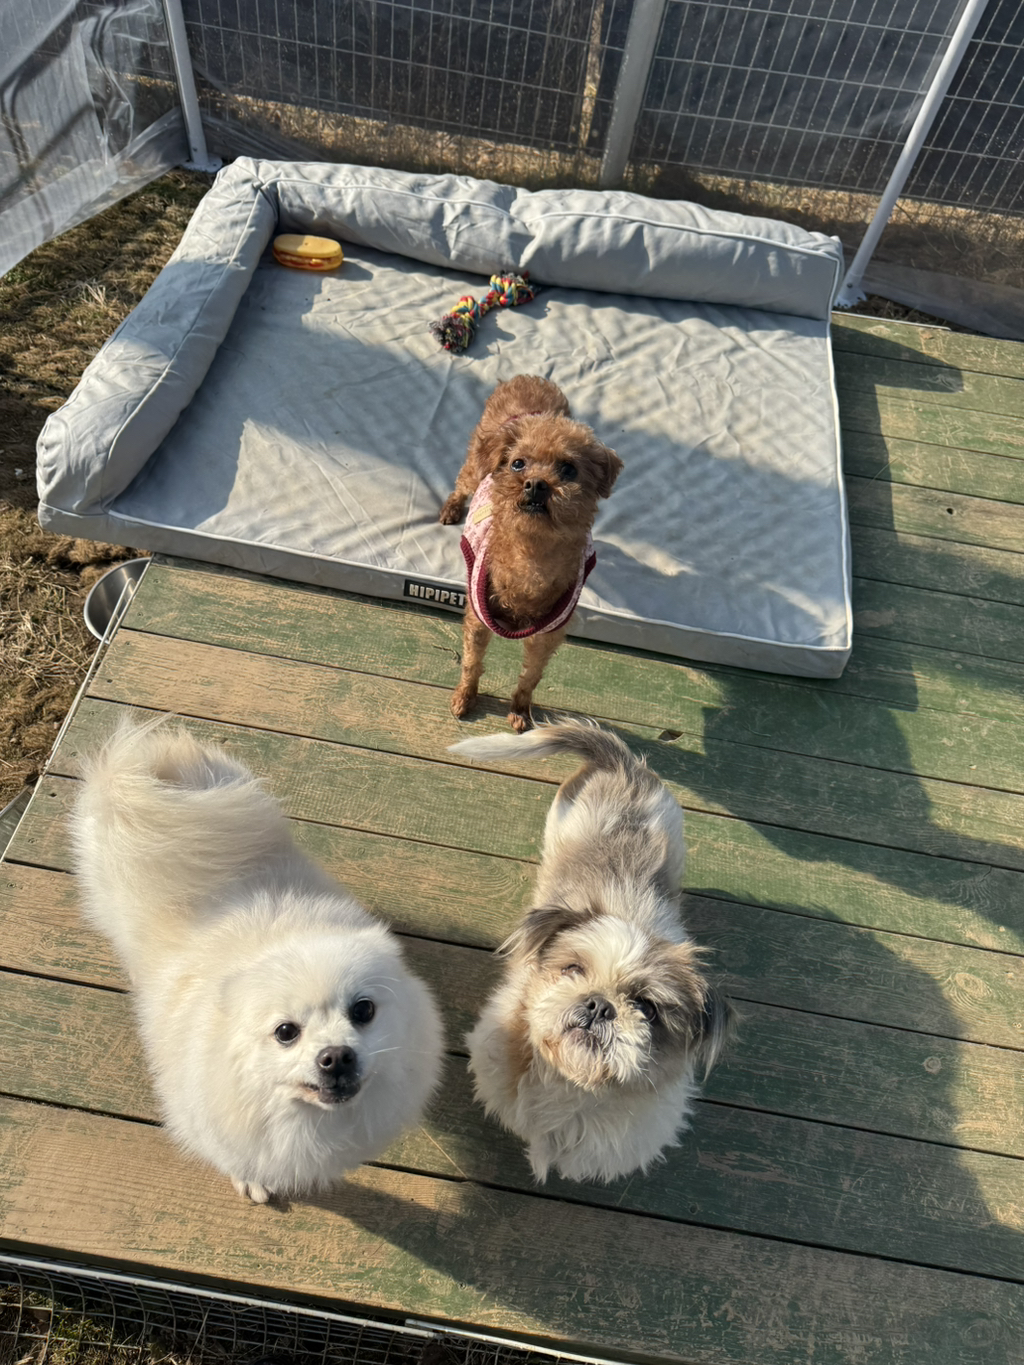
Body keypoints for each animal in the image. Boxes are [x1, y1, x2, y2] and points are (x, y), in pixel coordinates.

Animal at [72, 718, 444, 1203]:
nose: (336, 1057)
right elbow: (237, 1157)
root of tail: (146, 768)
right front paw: (250, 1178)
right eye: (286, 1032)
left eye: (363, 1010)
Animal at [439, 376, 622, 732]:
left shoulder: (548, 636)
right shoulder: (478, 621)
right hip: (475, 465)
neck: (531, 554)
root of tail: (527, 379)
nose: (536, 483)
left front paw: (521, 710)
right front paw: (465, 697)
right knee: (461, 484)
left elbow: (531, 676)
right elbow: (471, 662)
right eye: (518, 463)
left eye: (569, 469)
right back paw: (451, 509)